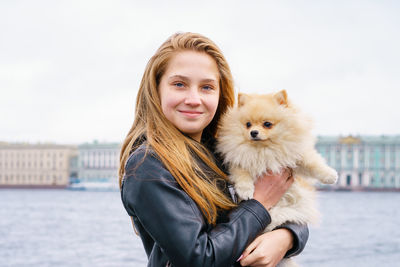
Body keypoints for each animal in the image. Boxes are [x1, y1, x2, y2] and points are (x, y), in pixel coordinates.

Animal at [216, 90, 338, 267]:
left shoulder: (295, 156)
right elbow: (242, 174)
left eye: (267, 124)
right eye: (248, 124)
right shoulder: (238, 161)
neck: (263, 150)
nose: (253, 132)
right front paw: (246, 190)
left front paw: (330, 175)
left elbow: (312, 163)